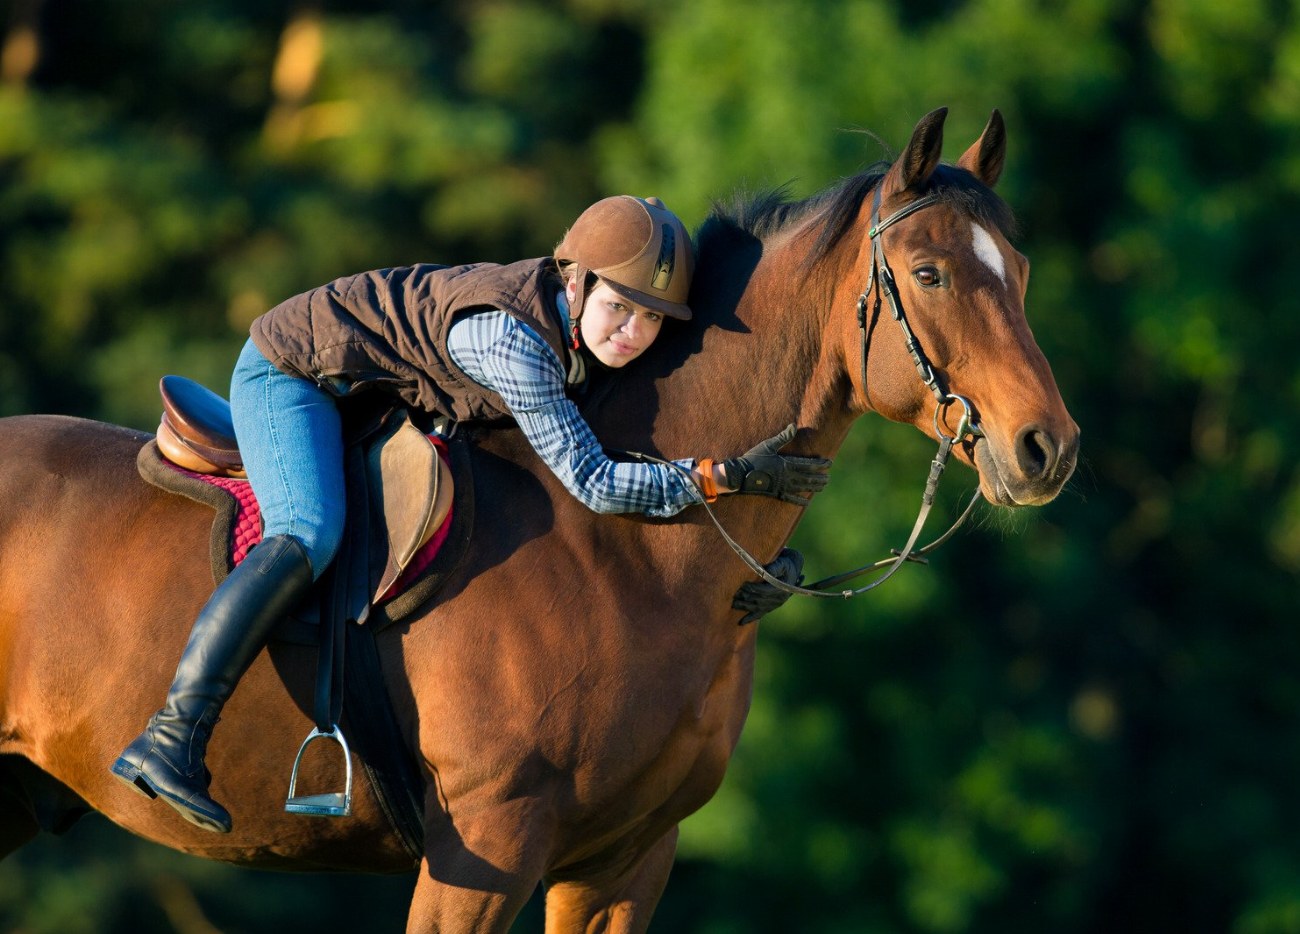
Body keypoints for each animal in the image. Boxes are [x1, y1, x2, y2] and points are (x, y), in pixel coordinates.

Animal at [0, 108, 1078, 932]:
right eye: (931, 274)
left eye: (1022, 270)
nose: (1047, 448)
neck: (629, 557)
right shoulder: (488, 844)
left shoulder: (623, 859)